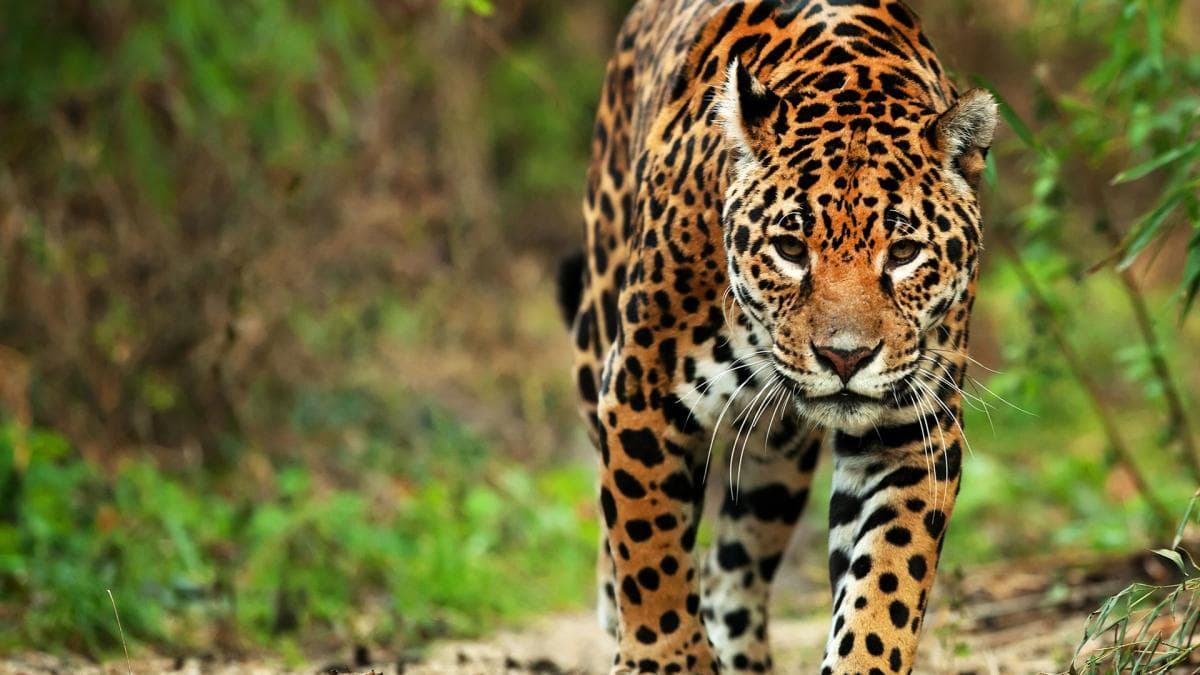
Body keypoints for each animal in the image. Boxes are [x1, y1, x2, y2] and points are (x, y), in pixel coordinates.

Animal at [558, 1, 998, 672]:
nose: (845, 358)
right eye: (790, 249)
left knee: (730, 574)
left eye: (903, 254)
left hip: (776, 458)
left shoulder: (910, 431)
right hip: (595, 342)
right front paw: (665, 657)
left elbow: (887, 584)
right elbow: (649, 547)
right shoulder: (640, 391)